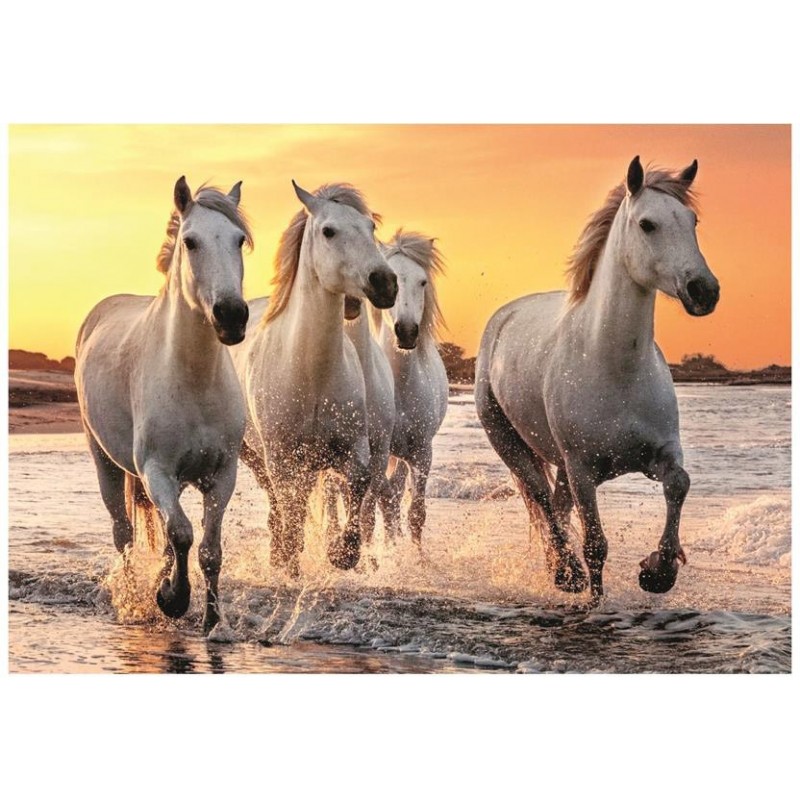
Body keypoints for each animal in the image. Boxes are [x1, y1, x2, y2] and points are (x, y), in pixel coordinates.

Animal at [75, 176, 252, 633]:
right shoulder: (156, 471)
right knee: (124, 534)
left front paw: (212, 621)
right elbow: (183, 534)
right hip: (105, 462)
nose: (231, 315)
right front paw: (172, 599)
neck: (193, 380)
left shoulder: (222, 474)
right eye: (190, 242)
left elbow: (207, 549)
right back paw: (134, 597)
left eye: (239, 240)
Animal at [234, 182, 397, 576]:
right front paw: (291, 561)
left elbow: (358, 485)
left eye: (370, 227)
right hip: (255, 455)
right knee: (278, 504)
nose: (385, 283)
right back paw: (279, 556)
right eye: (328, 231)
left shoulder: (354, 448)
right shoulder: (280, 458)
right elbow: (290, 510)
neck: (312, 375)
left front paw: (342, 553)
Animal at [475, 156, 720, 599]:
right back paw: (566, 573)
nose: (703, 290)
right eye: (647, 224)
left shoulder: (660, 453)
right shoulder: (583, 471)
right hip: (509, 443)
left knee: (555, 506)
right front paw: (596, 596)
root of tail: (503, 318)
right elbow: (595, 546)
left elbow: (679, 484)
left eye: (692, 220)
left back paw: (559, 569)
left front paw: (658, 570)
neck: (615, 369)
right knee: (541, 498)